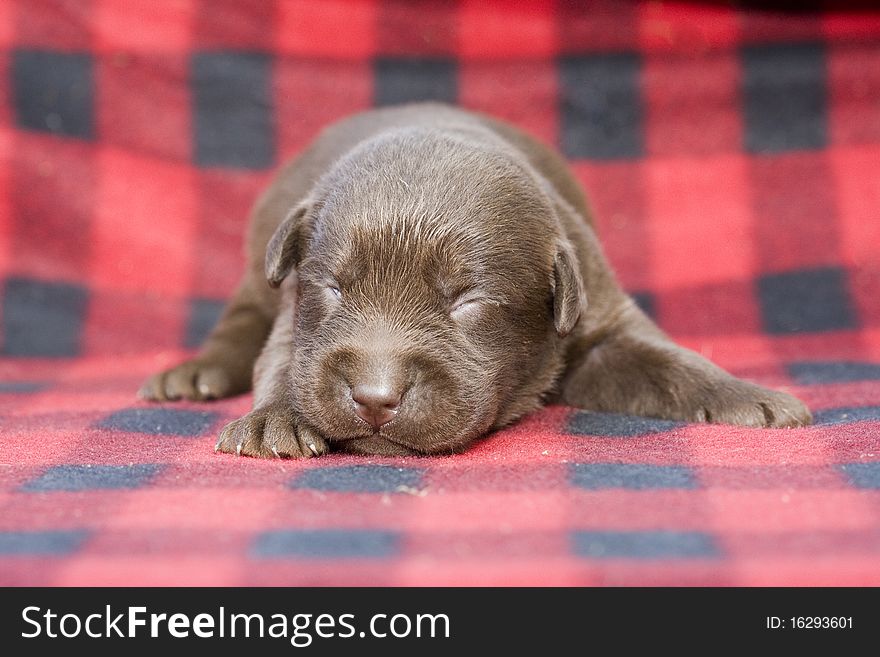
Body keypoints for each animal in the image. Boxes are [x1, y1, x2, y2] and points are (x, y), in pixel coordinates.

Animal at [139, 102, 812, 456]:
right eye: (333, 289)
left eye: (468, 302)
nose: (375, 397)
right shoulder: (294, 315)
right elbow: (283, 360)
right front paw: (275, 419)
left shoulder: (601, 319)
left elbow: (670, 363)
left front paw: (751, 396)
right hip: (260, 272)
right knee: (242, 320)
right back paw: (193, 374)